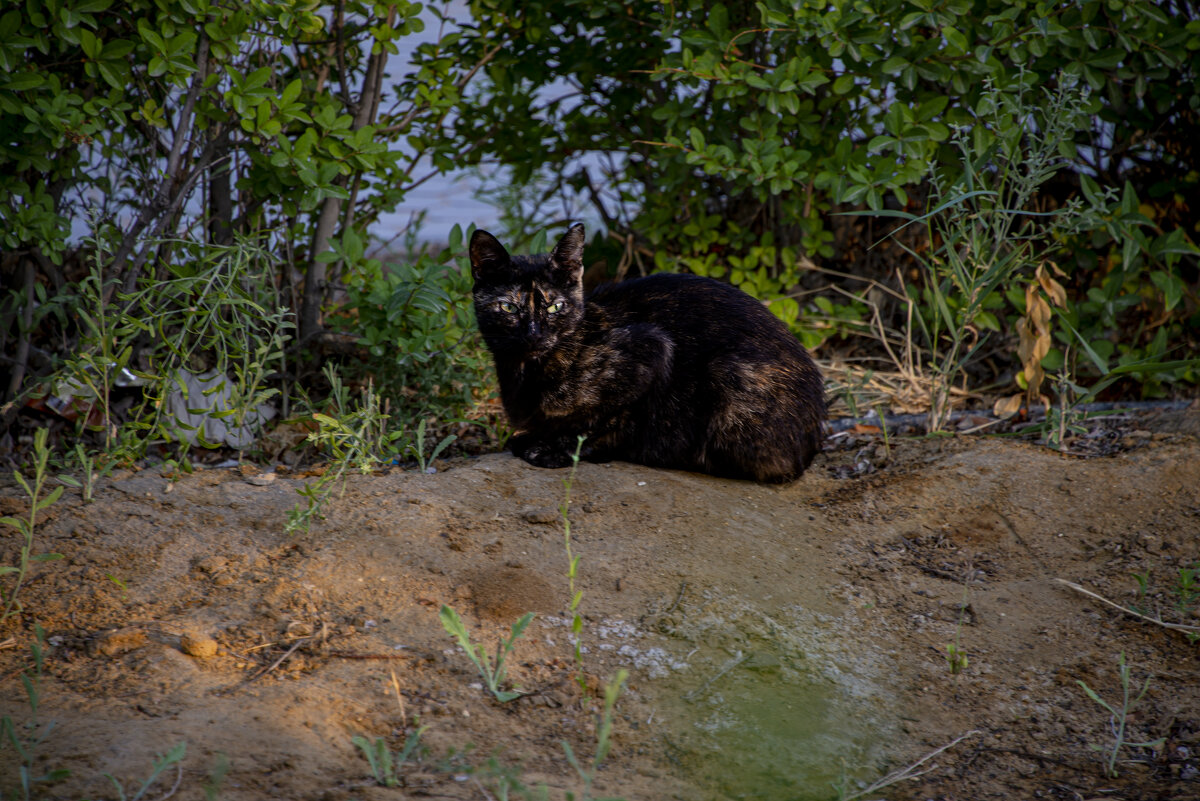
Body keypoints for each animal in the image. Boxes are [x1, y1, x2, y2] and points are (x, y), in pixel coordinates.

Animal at [468, 221, 825, 482]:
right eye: (509, 307)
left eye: (555, 306)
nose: (535, 334)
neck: (524, 370)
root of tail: (813, 440)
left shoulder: (652, 349)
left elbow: (603, 420)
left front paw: (557, 449)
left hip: (728, 374)